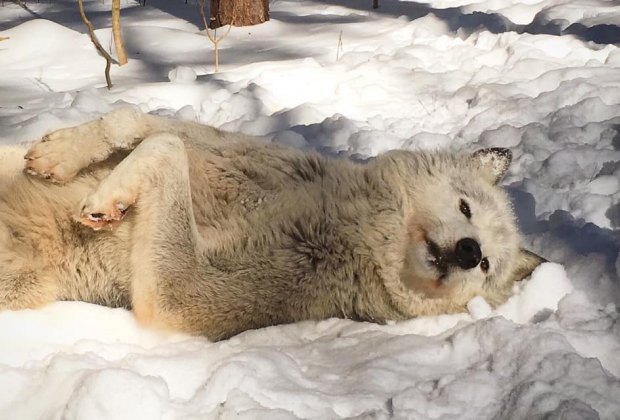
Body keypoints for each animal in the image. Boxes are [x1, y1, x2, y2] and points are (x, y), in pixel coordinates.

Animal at [0, 108, 544, 342]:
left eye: (488, 267)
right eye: (466, 208)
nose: (471, 252)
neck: (354, 224)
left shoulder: (182, 299)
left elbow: (164, 145)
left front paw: (107, 198)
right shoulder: (220, 148)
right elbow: (138, 120)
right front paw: (62, 154)